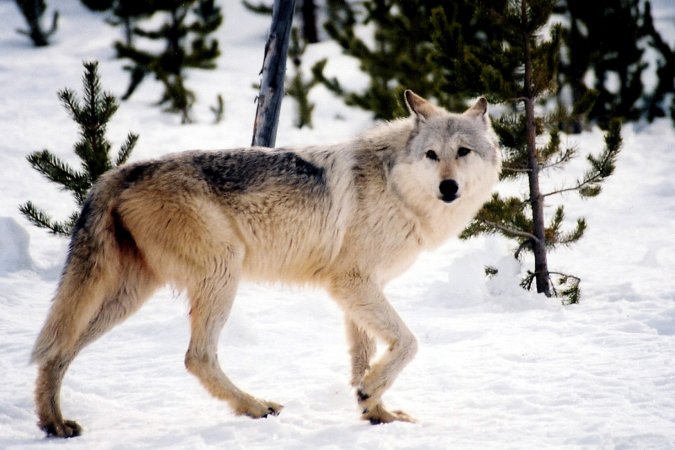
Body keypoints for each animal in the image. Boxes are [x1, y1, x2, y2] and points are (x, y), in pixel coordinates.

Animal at [30, 89, 502, 438]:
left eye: (463, 152)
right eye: (431, 155)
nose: (448, 187)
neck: (396, 187)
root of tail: (119, 172)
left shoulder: (360, 290)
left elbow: (363, 359)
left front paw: (376, 412)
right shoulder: (351, 283)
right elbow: (407, 343)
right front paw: (370, 395)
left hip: (128, 296)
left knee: (57, 351)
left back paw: (53, 423)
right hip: (222, 273)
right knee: (196, 357)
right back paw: (254, 407)